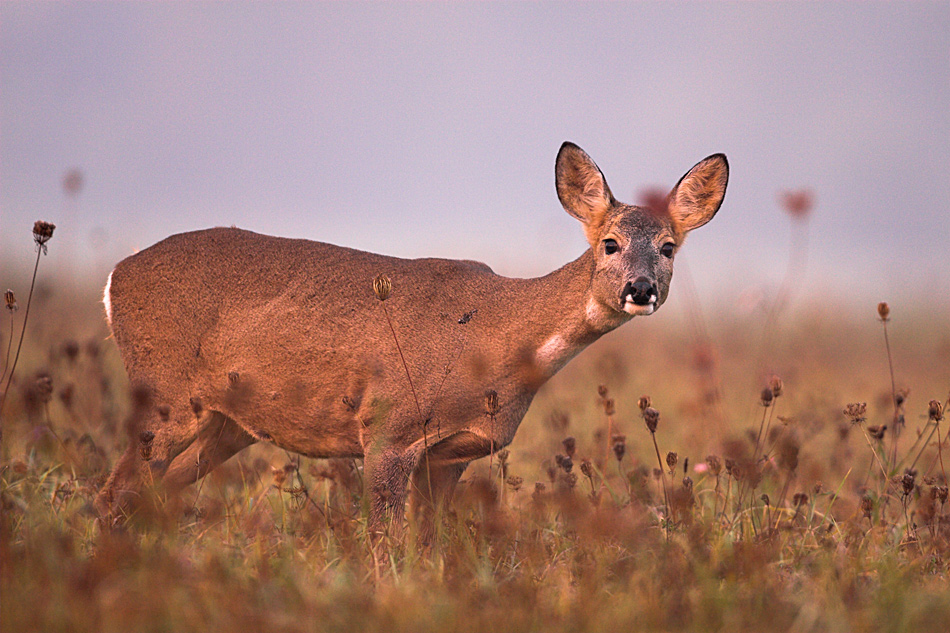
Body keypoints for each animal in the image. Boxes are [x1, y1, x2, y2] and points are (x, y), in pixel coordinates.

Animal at [95, 141, 728, 536]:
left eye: (668, 247)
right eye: (610, 244)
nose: (641, 289)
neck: (495, 342)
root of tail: (114, 277)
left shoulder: (452, 455)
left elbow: (430, 547)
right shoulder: (388, 426)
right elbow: (383, 544)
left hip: (225, 424)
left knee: (149, 495)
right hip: (167, 395)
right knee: (111, 494)